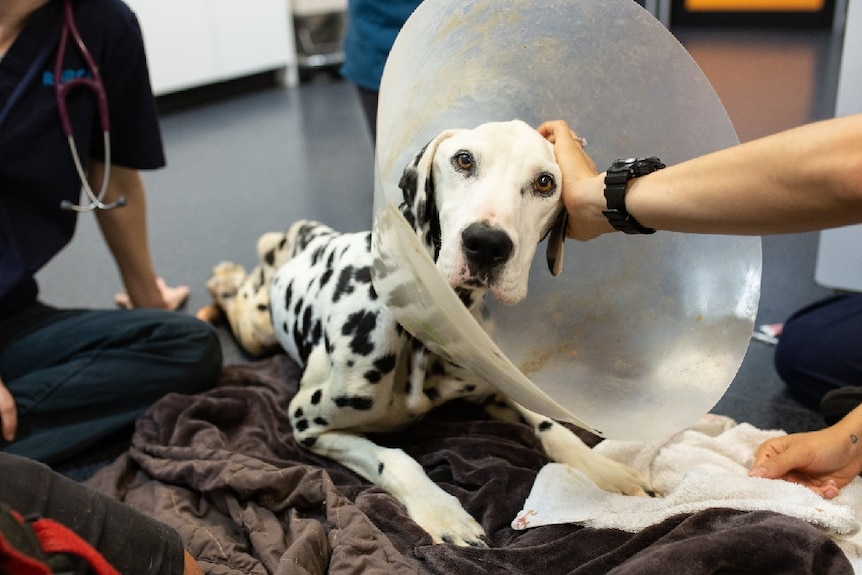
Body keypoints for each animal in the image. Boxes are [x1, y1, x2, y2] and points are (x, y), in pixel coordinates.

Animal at [206, 119, 656, 548]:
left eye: (545, 182)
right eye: (464, 160)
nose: (486, 244)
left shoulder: (496, 385)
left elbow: (551, 424)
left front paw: (607, 471)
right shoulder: (307, 423)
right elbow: (396, 460)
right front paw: (443, 513)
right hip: (257, 327)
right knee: (239, 299)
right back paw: (223, 280)